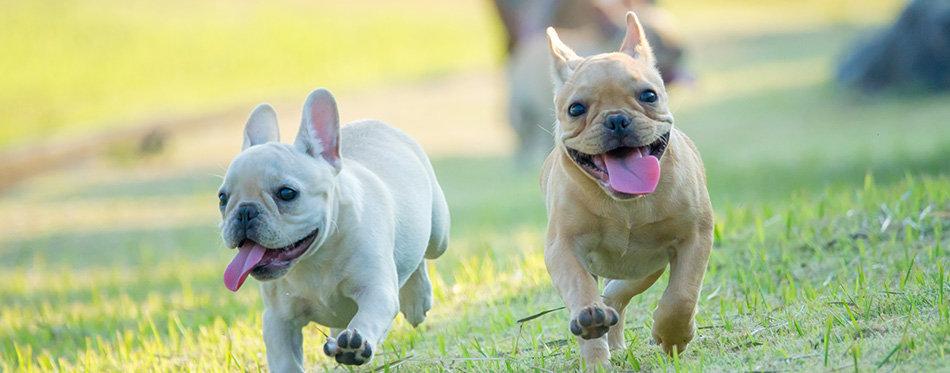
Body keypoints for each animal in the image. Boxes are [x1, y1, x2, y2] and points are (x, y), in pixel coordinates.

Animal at [219, 87, 450, 370]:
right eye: (222, 198)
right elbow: (286, 362)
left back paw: (417, 298)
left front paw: (355, 346)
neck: (314, 258)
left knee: (423, 253)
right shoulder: (278, 320)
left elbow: (368, 317)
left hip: (439, 235)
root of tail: (374, 123)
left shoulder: (376, 290)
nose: (244, 212)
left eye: (287, 193)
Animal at [544, 11, 712, 370]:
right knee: (603, 301)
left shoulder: (695, 237)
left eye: (649, 96)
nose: (617, 119)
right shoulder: (562, 247)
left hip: (645, 268)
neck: (625, 206)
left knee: (618, 294)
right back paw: (596, 346)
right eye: (575, 109)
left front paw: (673, 335)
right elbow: (579, 283)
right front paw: (589, 316)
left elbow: (682, 294)